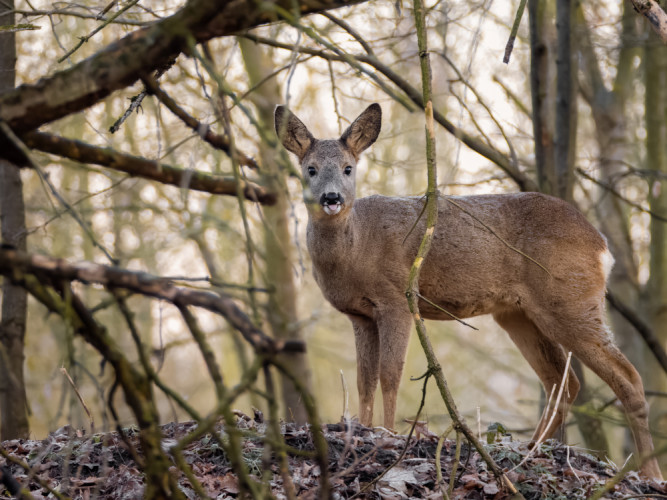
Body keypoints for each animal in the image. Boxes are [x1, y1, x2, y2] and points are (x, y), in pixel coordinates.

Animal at [276, 102, 664, 480]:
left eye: (348, 168)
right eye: (310, 169)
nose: (331, 198)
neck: (357, 248)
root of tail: (602, 246)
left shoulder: (397, 298)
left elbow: (390, 374)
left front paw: (389, 435)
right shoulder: (360, 314)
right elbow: (364, 379)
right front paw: (365, 429)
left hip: (571, 299)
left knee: (627, 377)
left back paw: (650, 472)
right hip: (518, 313)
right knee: (562, 381)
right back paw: (528, 451)